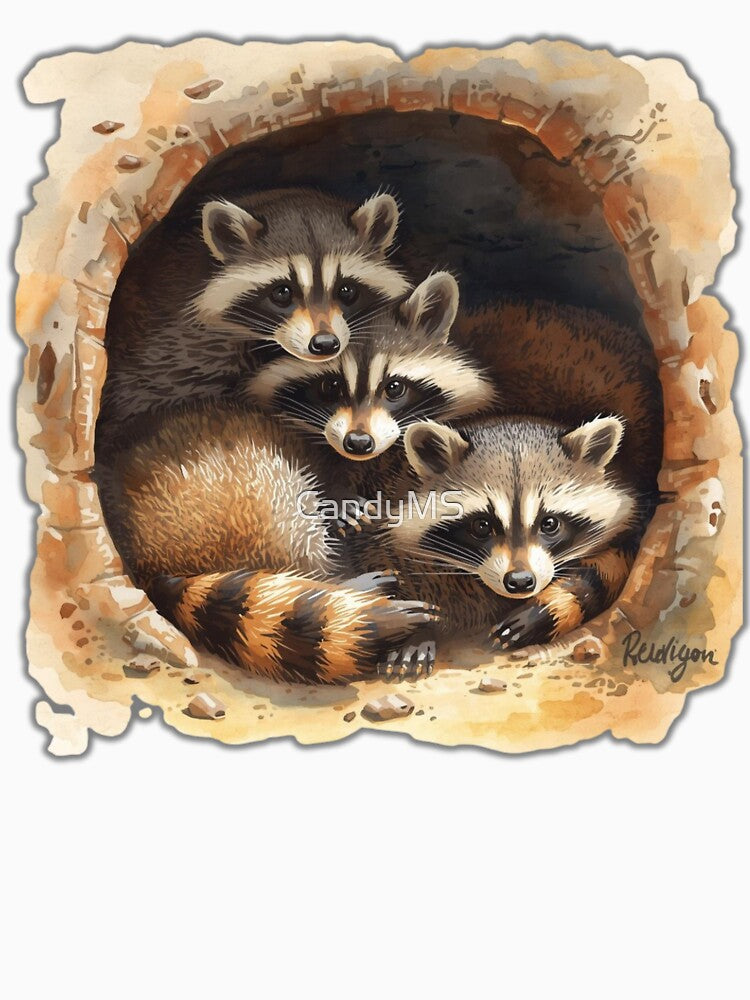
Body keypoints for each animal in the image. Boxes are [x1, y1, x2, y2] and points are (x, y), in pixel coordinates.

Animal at [347, 415, 640, 674]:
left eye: (549, 523)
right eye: (481, 525)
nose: (520, 582)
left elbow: (604, 572)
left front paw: (542, 612)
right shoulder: (382, 535)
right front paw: (414, 629)